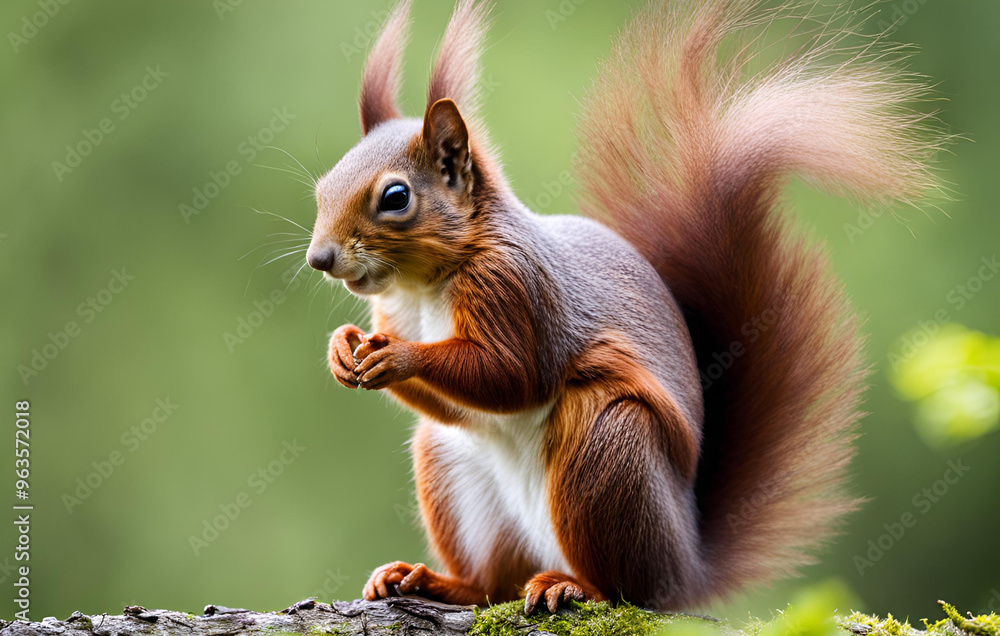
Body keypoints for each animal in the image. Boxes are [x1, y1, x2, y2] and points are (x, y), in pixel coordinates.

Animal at [305, 0, 942, 615]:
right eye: (322, 186)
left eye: (396, 197)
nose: (320, 258)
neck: (425, 286)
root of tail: (686, 567)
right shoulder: (400, 311)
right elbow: (451, 397)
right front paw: (341, 350)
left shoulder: (516, 288)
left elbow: (514, 375)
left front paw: (399, 356)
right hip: (451, 463)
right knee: (492, 583)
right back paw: (436, 582)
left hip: (609, 446)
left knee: (623, 584)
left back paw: (574, 587)